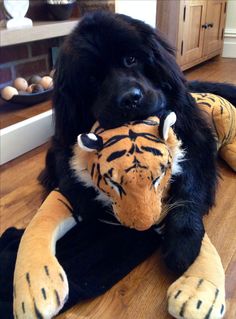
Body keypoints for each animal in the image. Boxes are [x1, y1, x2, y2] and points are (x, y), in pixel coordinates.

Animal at [39, 10, 236, 276]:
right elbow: (68, 172)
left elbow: (190, 186)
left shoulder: (196, 140)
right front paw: (92, 206)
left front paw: (183, 238)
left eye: (131, 59)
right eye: (92, 79)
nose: (130, 99)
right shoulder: (61, 141)